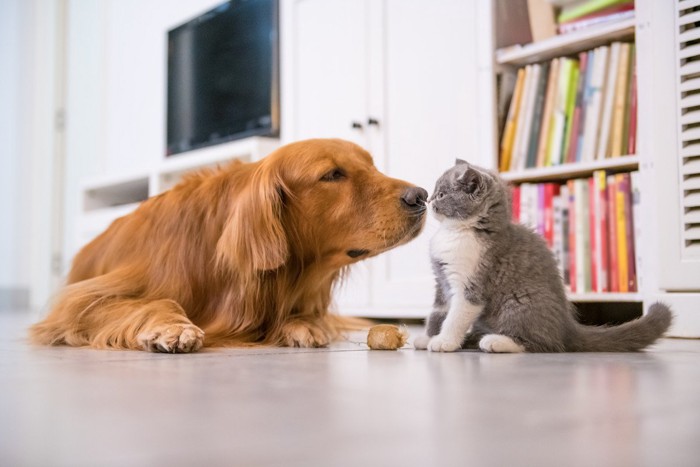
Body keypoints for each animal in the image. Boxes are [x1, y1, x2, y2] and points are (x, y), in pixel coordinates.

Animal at [28, 141, 426, 352]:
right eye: (332, 175)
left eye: (372, 165)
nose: (421, 196)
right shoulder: (78, 301)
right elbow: (156, 301)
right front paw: (171, 326)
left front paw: (302, 324)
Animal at [416, 159, 672, 352]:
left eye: (441, 194)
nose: (428, 199)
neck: (458, 231)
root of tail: (567, 327)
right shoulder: (441, 281)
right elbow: (438, 312)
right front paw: (428, 337)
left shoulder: (472, 285)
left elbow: (456, 316)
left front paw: (444, 341)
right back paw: (472, 340)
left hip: (520, 303)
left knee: (544, 344)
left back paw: (497, 342)